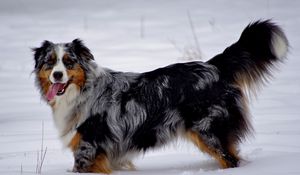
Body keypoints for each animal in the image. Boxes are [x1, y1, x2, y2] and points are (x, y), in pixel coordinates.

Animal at [32, 19, 288, 173]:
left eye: (69, 62)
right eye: (50, 62)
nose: (57, 75)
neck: (83, 91)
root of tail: (213, 65)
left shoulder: (88, 149)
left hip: (209, 130)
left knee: (231, 160)